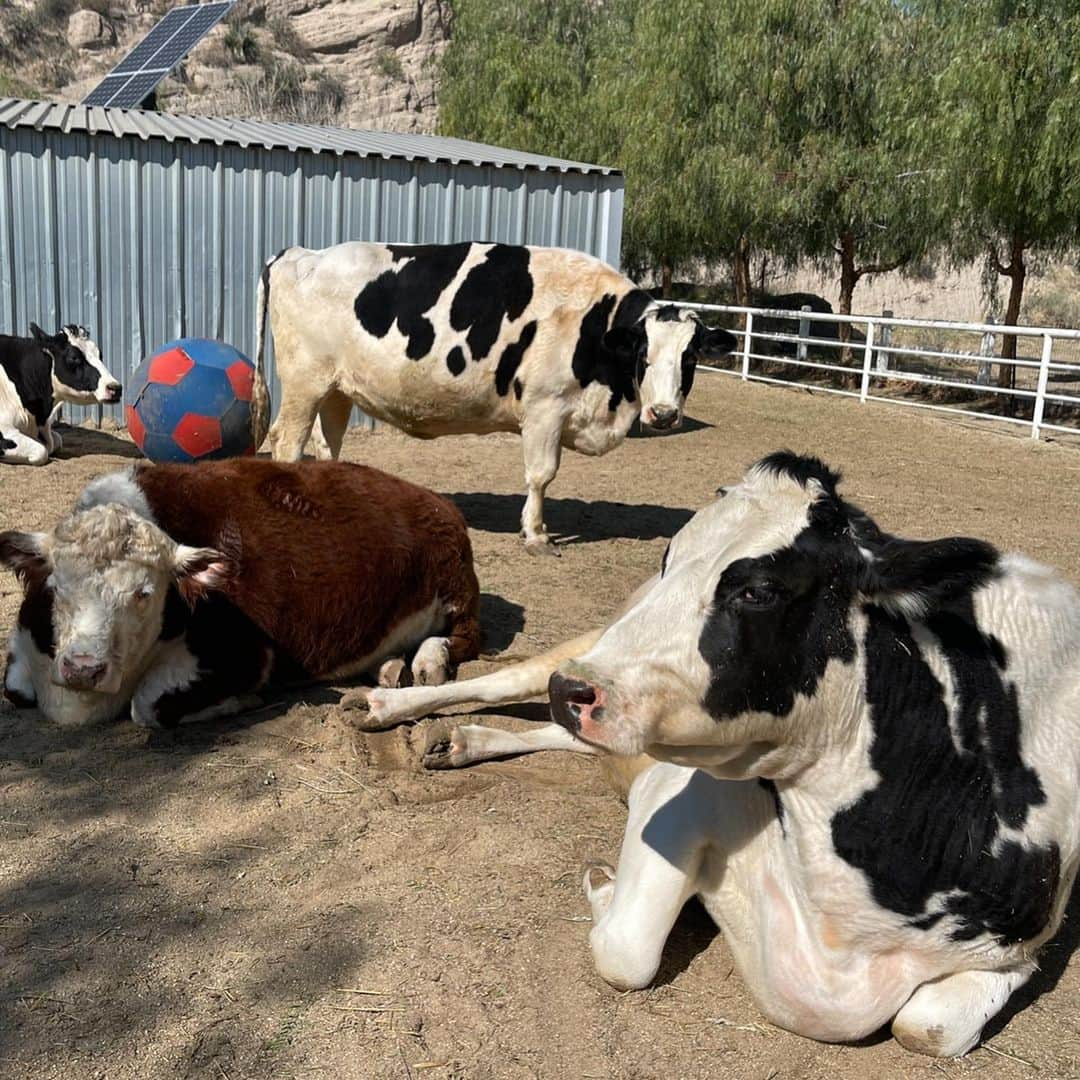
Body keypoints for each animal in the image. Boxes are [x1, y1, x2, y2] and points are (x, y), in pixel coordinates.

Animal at [0, 460, 481, 730]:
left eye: (144, 593)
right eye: (56, 586)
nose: (83, 668)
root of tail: (436, 500)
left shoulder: (247, 654)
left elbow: (149, 706)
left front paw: (239, 702)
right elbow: (14, 689)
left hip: (458, 590)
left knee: (464, 638)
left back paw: (429, 660)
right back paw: (389, 665)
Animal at [252, 241, 738, 552]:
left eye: (691, 356)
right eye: (644, 353)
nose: (664, 413)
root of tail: (300, 253)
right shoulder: (545, 407)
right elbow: (542, 475)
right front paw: (536, 534)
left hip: (336, 387)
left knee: (326, 443)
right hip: (304, 383)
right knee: (288, 442)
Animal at [343, 451, 1080, 1058]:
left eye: (758, 590)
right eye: (669, 555)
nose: (574, 691)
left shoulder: (1016, 952)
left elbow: (927, 1028)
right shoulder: (678, 799)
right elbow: (627, 952)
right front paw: (603, 886)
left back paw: (466, 741)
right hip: (587, 647)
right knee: (498, 682)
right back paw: (387, 707)